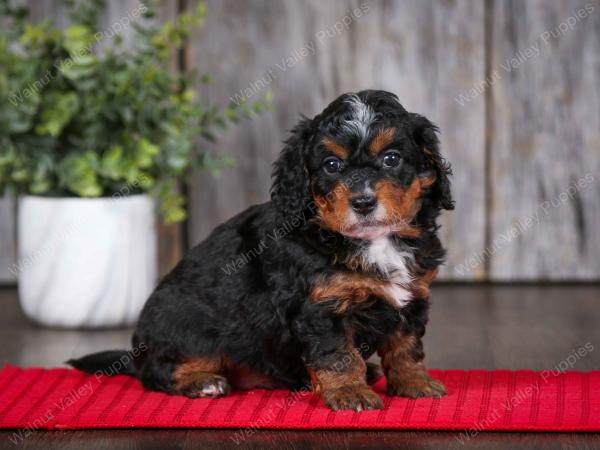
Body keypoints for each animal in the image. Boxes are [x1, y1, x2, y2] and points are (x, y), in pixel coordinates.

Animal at [68, 90, 452, 412]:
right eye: (331, 165)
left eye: (392, 158)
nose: (363, 202)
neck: (372, 241)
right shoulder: (320, 307)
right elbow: (338, 354)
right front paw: (349, 392)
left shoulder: (412, 295)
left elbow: (406, 346)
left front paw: (415, 383)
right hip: (184, 325)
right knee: (159, 372)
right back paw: (201, 381)